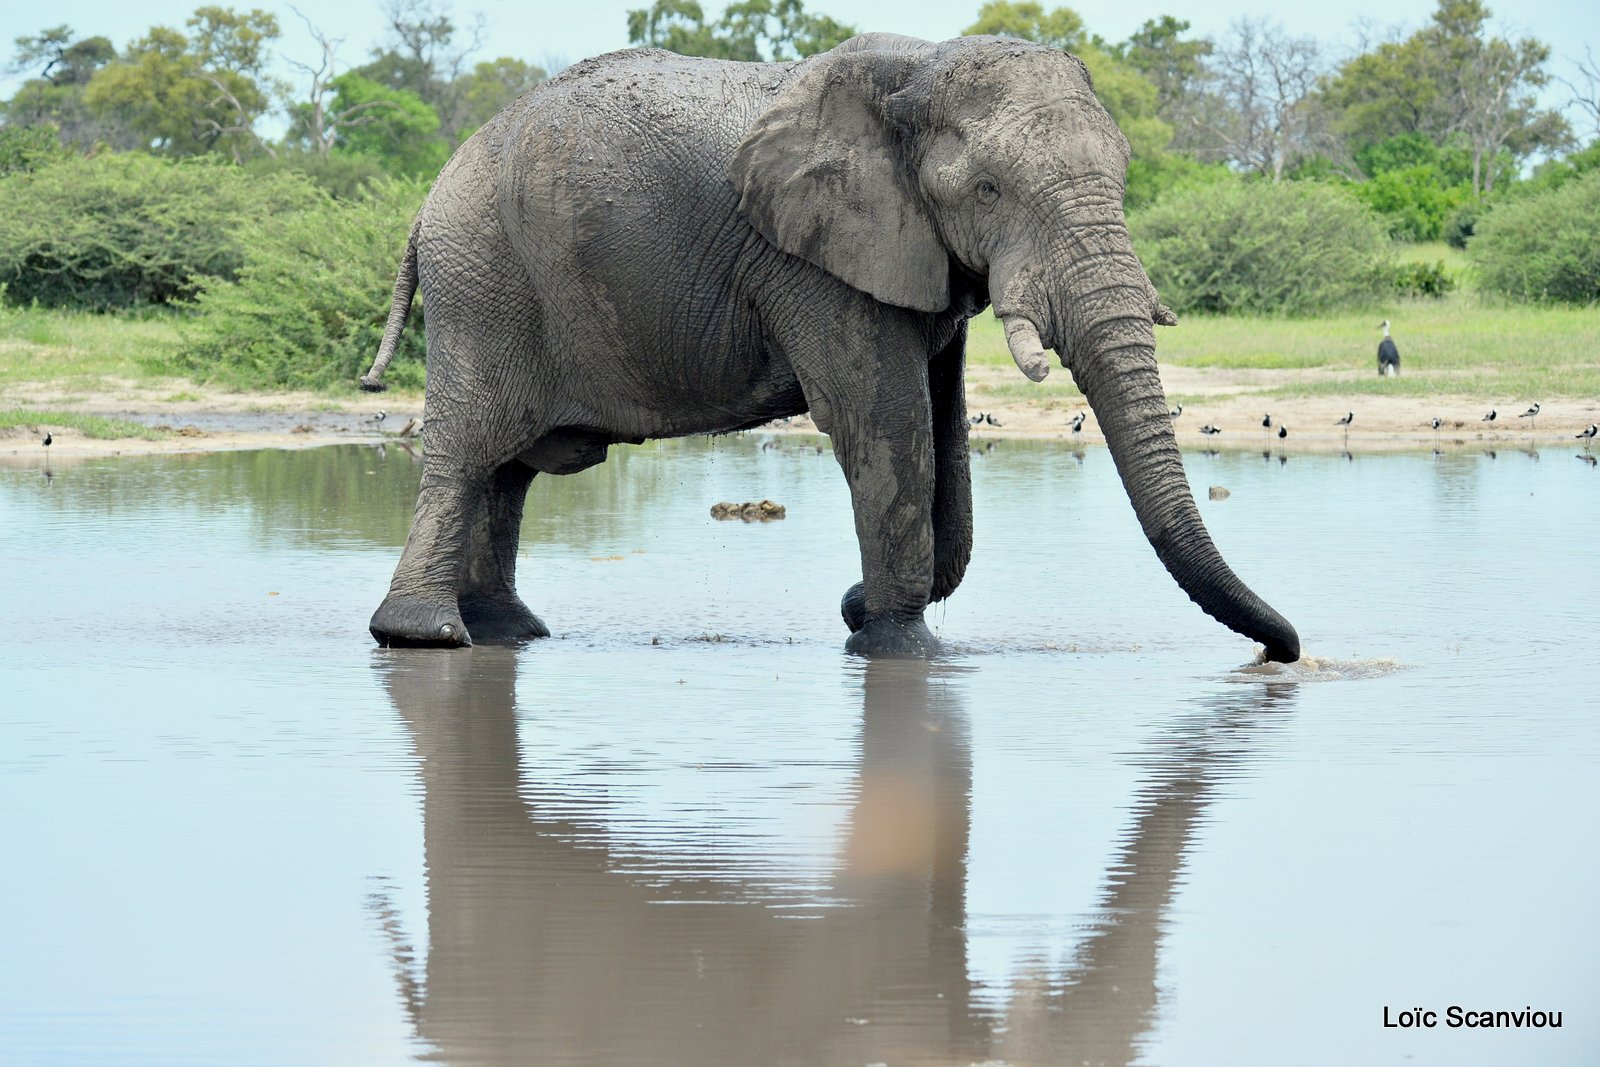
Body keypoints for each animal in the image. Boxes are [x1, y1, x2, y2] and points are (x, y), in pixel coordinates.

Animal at [356, 33, 1292, 662]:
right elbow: (886, 422)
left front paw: (863, 612)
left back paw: (508, 632)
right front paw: (898, 647)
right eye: (989, 189)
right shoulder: (812, 264)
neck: (917, 69)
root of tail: (427, 200)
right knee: (471, 450)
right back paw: (428, 637)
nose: (1283, 653)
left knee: (505, 469)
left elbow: (944, 435)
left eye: (1125, 179)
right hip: (483, 281)